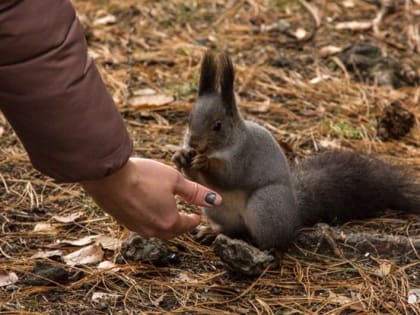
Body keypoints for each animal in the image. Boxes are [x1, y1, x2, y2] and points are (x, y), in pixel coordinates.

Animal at [171, 51, 420, 252]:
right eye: (189, 119)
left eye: (218, 125)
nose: (193, 143)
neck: (223, 146)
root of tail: (294, 213)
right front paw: (180, 157)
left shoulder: (245, 155)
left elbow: (229, 176)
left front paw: (204, 163)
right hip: (216, 208)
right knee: (232, 229)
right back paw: (212, 231)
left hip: (265, 204)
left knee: (276, 238)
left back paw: (264, 247)